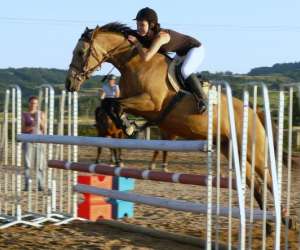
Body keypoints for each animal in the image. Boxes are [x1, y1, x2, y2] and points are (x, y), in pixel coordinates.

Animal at [64, 22, 290, 226]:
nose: (69, 84)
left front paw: (129, 126)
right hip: (230, 148)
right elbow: (111, 104)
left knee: (269, 179)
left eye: (81, 52)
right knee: (256, 185)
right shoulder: (135, 103)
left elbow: (114, 103)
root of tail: (254, 111)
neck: (137, 64)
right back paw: (271, 225)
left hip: (253, 150)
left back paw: (284, 220)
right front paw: (129, 125)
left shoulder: (150, 102)